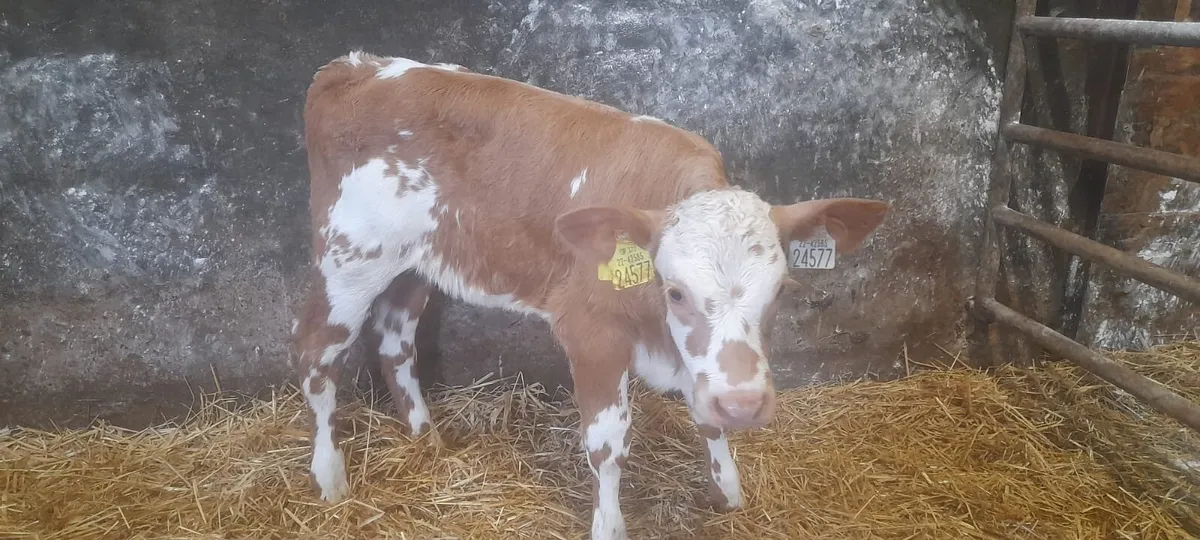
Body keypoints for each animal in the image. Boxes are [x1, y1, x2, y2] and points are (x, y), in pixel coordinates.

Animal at [294, 51, 889, 540]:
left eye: (782, 289)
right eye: (675, 291)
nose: (745, 404)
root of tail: (354, 67)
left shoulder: (703, 363)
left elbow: (707, 416)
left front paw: (728, 492)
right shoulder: (592, 332)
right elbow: (607, 441)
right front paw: (610, 526)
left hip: (417, 262)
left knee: (395, 340)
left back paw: (425, 440)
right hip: (349, 256)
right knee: (316, 353)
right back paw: (329, 477)